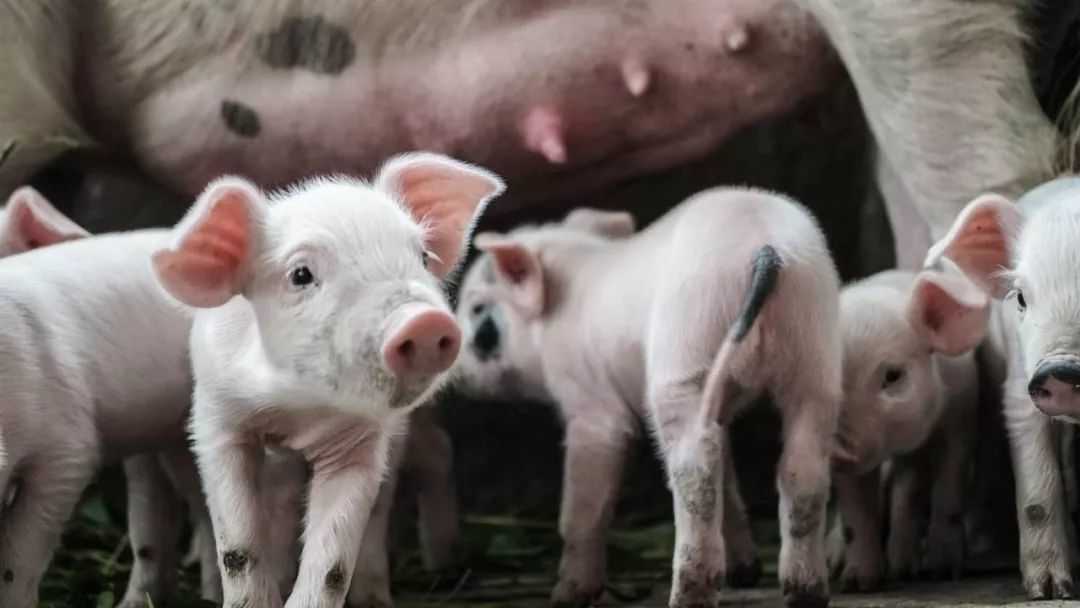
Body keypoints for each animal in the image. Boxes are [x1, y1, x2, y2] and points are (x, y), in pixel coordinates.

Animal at [149, 153, 502, 608]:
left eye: (423, 257)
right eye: (301, 274)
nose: (424, 322)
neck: (297, 409)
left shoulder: (360, 443)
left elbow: (333, 564)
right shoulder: (217, 421)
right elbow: (238, 548)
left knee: (431, 457)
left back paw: (425, 573)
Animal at [455, 190, 842, 608]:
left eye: (478, 312)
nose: (451, 370)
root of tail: (766, 249)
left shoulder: (591, 403)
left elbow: (583, 505)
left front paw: (566, 596)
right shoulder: (721, 408)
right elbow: (729, 480)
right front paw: (745, 573)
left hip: (684, 355)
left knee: (696, 472)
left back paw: (686, 597)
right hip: (814, 352)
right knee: (801, 470)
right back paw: (805, 593)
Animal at [826, 268, 987, 591]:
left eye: (893, 375)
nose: (836, 447)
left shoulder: (961, 416)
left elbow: (947, 487)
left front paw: (942, 572)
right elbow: (856, 513)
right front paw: (858, 584)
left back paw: (905, 567)